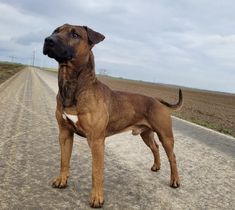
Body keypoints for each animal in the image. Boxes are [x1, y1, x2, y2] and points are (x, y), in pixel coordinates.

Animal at [43, 23, 183, 208]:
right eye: (56, 30)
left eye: (75, 34)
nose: (48, 40)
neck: (74, 87)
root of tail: (158, 100)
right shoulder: (65, 134)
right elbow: (64, 160)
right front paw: (61, 180)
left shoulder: (96, 140)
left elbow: (96, 172)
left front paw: (97, 198)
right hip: (146, 134)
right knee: (155, 148)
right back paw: (156, 166)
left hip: (165, 135)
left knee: (172, 156)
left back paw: (175, 181)